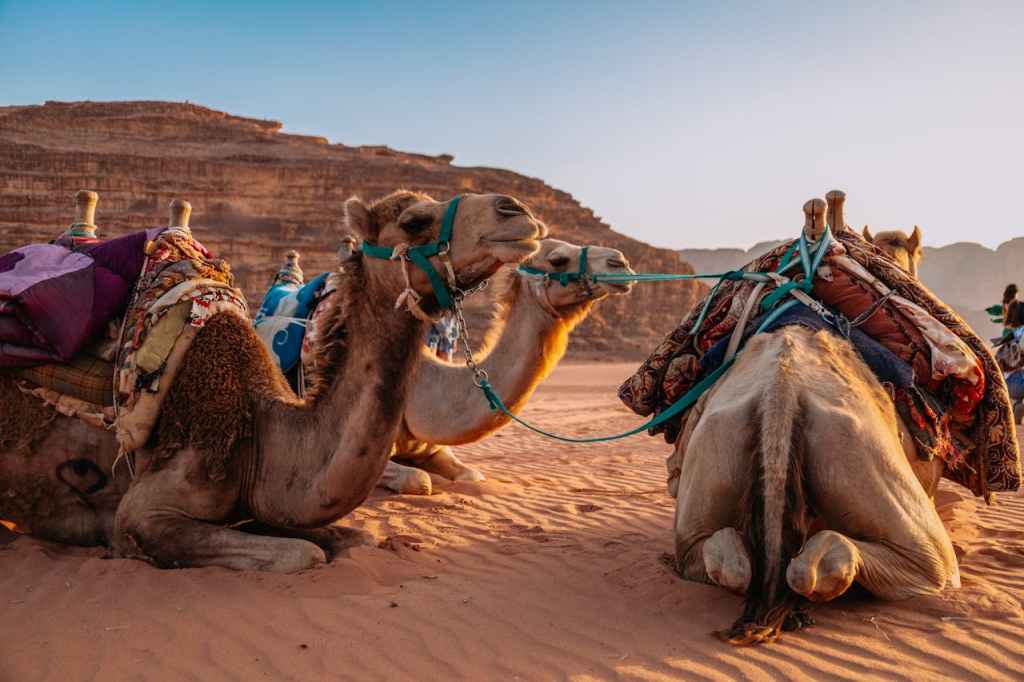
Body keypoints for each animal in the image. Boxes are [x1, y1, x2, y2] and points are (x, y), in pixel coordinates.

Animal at [0, 190, 545, 571]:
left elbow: (354, 538)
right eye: (414, 221)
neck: (261, 437)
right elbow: (302, 554)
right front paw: (117, 549)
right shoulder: (145, 509)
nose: (516, 210)